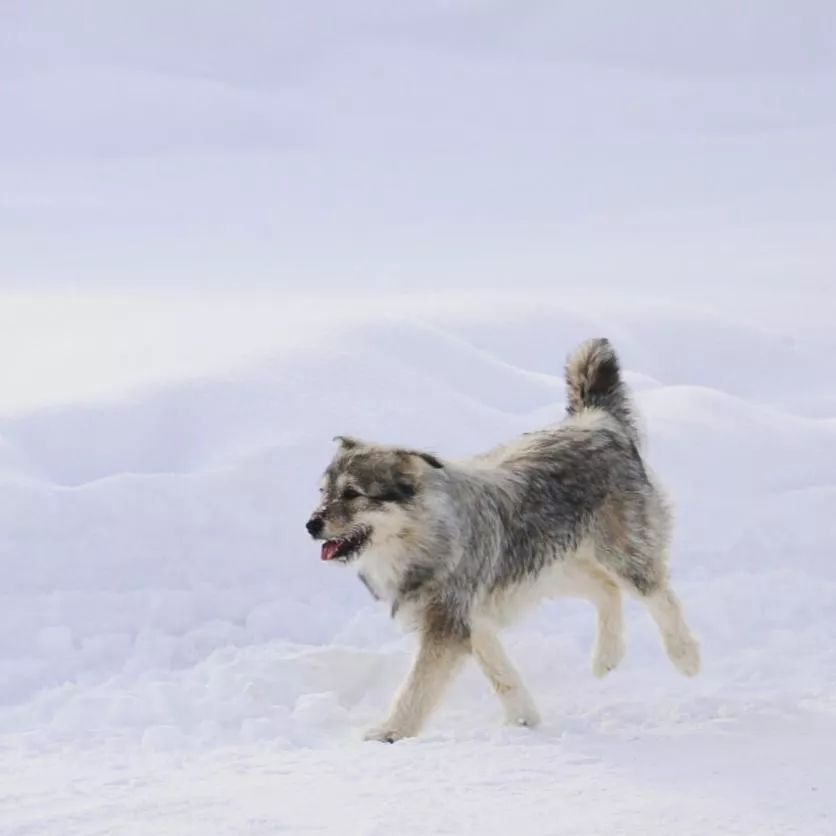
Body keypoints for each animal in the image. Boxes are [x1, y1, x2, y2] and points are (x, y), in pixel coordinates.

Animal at [306, 336, 700, 740]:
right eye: (323, 492)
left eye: (352, 494)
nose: (310, 525)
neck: (421, 536)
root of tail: (598, 420)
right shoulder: (473, 620)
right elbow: (502, 676)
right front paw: (523, 720)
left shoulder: (447, 624)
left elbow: (416, 688)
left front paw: (390, 733)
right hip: (548, 570)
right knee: (606, 589)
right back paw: (606, 658)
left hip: (621, 556)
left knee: (658, 596)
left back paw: (685, 657)